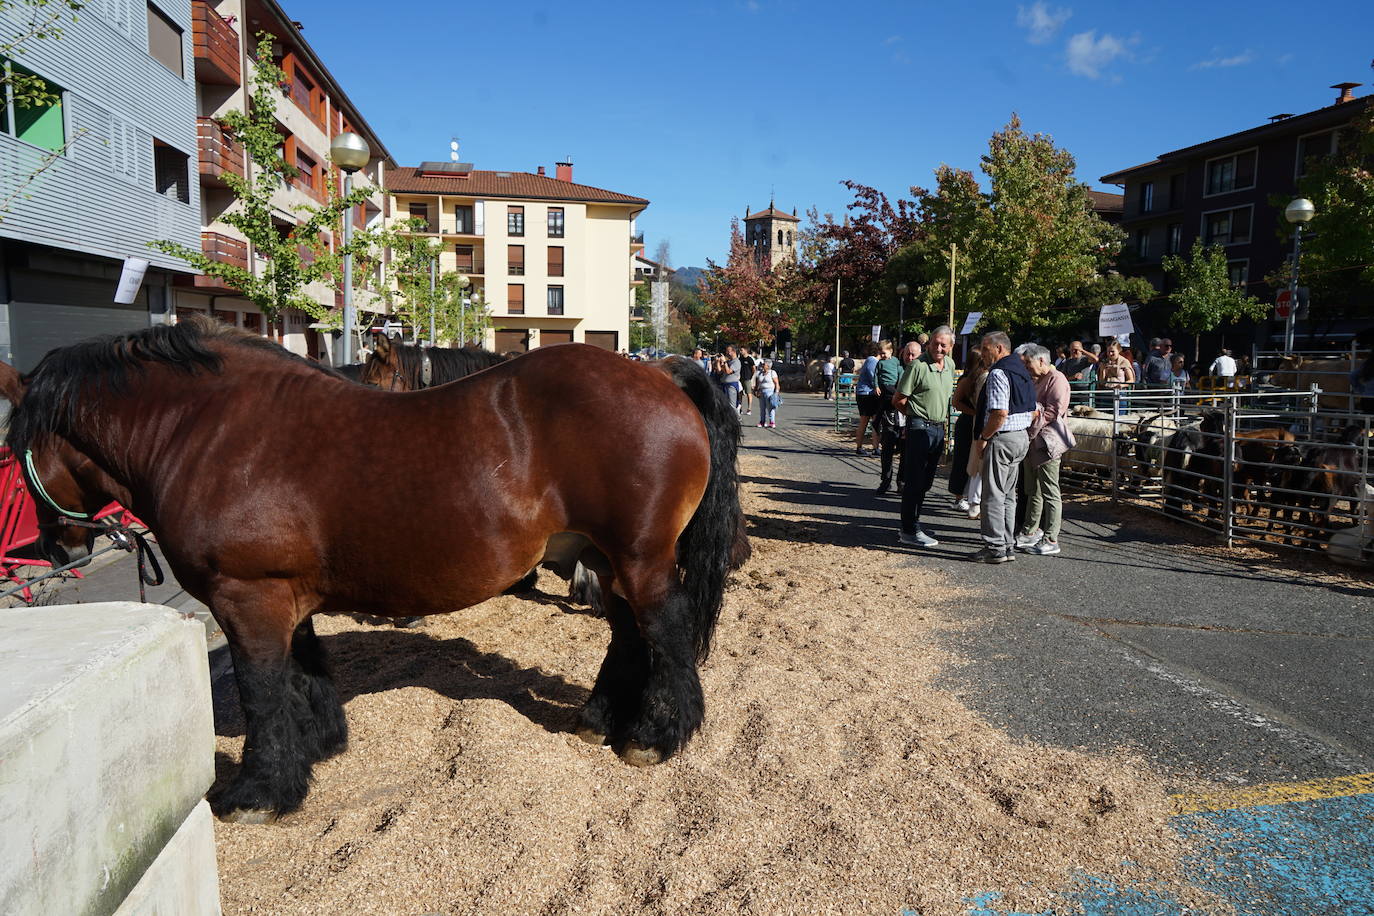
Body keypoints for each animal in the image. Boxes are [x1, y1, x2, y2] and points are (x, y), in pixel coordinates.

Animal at [2, 317, 741, 823]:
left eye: (14, 444)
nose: (57, 552)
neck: (208, 431)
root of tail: (661, 372)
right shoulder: (278, 593)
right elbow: (300, 669)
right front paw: (319, 745)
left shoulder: (244, 597)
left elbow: (259, 688)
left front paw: (261, 790)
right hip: (600, 556)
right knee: (627, 633)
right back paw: (601, 718)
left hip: (639, 556)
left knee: (665, 631)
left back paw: (658, 735)